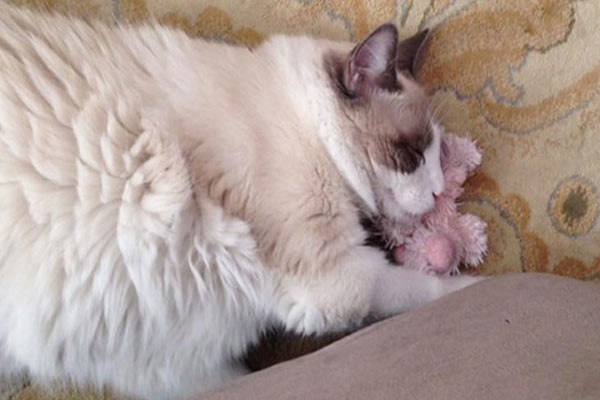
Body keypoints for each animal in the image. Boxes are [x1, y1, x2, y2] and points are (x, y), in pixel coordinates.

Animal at [0, 3, 480, 400]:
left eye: (437, 154)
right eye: (413, 153)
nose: (439, 191)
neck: (309, 129)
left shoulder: (161, 363)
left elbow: (233, 379)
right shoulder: (336, 278)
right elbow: (425, 289)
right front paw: (477, 288)